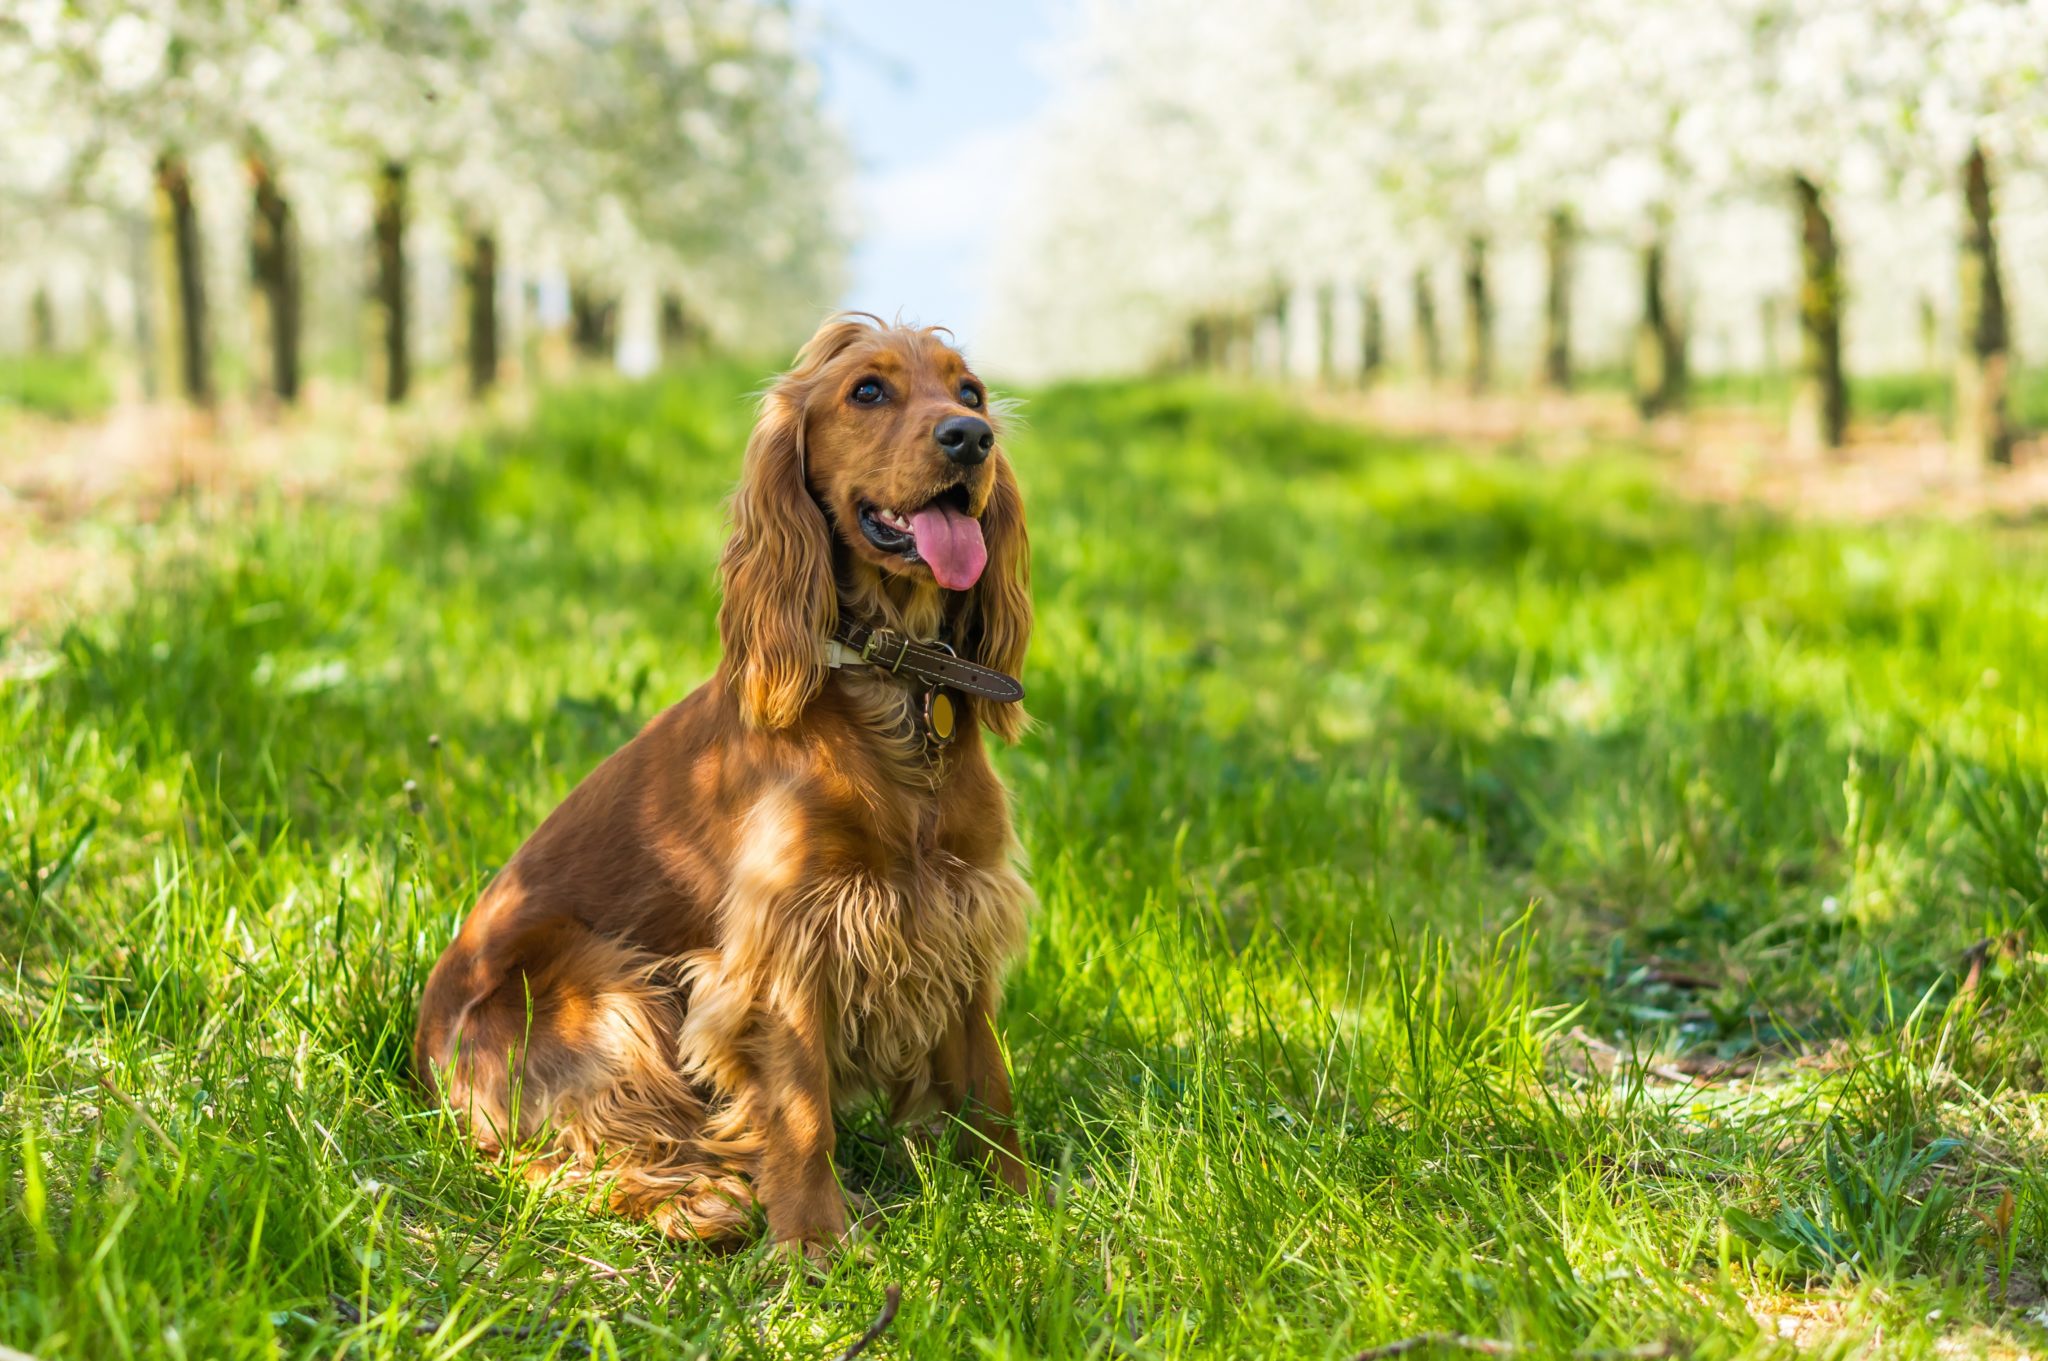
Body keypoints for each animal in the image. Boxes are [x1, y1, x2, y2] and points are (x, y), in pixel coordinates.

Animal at [409, 315, 1032, 1252]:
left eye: (972, 392)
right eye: (868, 390)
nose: (970, 438)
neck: (892, 687)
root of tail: (422, 1056)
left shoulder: (957, 910)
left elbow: (989, 1085)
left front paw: (1032, 1208)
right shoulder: (789, 938)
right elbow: (802, 1109)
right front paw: (815, 1243)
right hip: (603, 987)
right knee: (561, 1161)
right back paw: (701, 1203)